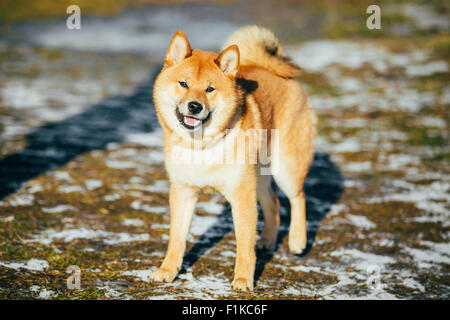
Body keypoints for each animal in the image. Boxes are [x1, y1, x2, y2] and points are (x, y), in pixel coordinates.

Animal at [150, 25, 316, 290]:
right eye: (183, 84)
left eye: (210, 89)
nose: (195, 106)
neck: (201, 145)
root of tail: (273, 70)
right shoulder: (183, 191)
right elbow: (177, 237)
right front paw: (167, 271)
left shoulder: (241, 197)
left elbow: (244, 247)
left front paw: (243, 280)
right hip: (258, 177)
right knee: (273, 202)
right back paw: (267, 240)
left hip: (285, 168)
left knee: (297, 197)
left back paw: (297, 240)